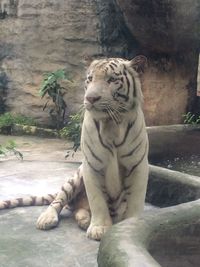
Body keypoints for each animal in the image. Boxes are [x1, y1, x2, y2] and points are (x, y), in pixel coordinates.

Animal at [0, 55, 148, 242]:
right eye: (90, 79)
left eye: (111, 80)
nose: (91, 98)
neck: (112, 124)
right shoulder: (91, 165)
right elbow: (97, 199)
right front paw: (99, 228)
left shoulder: (137, 165)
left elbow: (135, 200)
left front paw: (130, 226)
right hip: (74, 178)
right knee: (59, 201)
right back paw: (48, 219)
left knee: (79, 209)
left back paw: (84, 220)